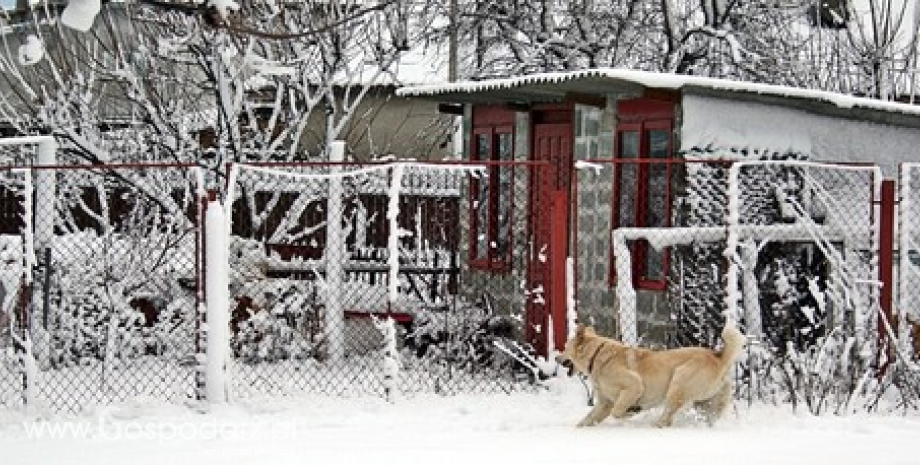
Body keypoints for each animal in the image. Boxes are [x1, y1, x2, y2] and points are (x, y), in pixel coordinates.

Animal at [552, 318, 748, 426]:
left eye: (565, 347)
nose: (556, 358)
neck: (597, 355)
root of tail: (719, 357)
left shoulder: (633, 385)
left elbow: (617, 411)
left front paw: (632, 411)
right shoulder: (603, 404)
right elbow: (587, 420)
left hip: (677, 383)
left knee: (667, 419)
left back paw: (654, 425)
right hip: (708, 405)